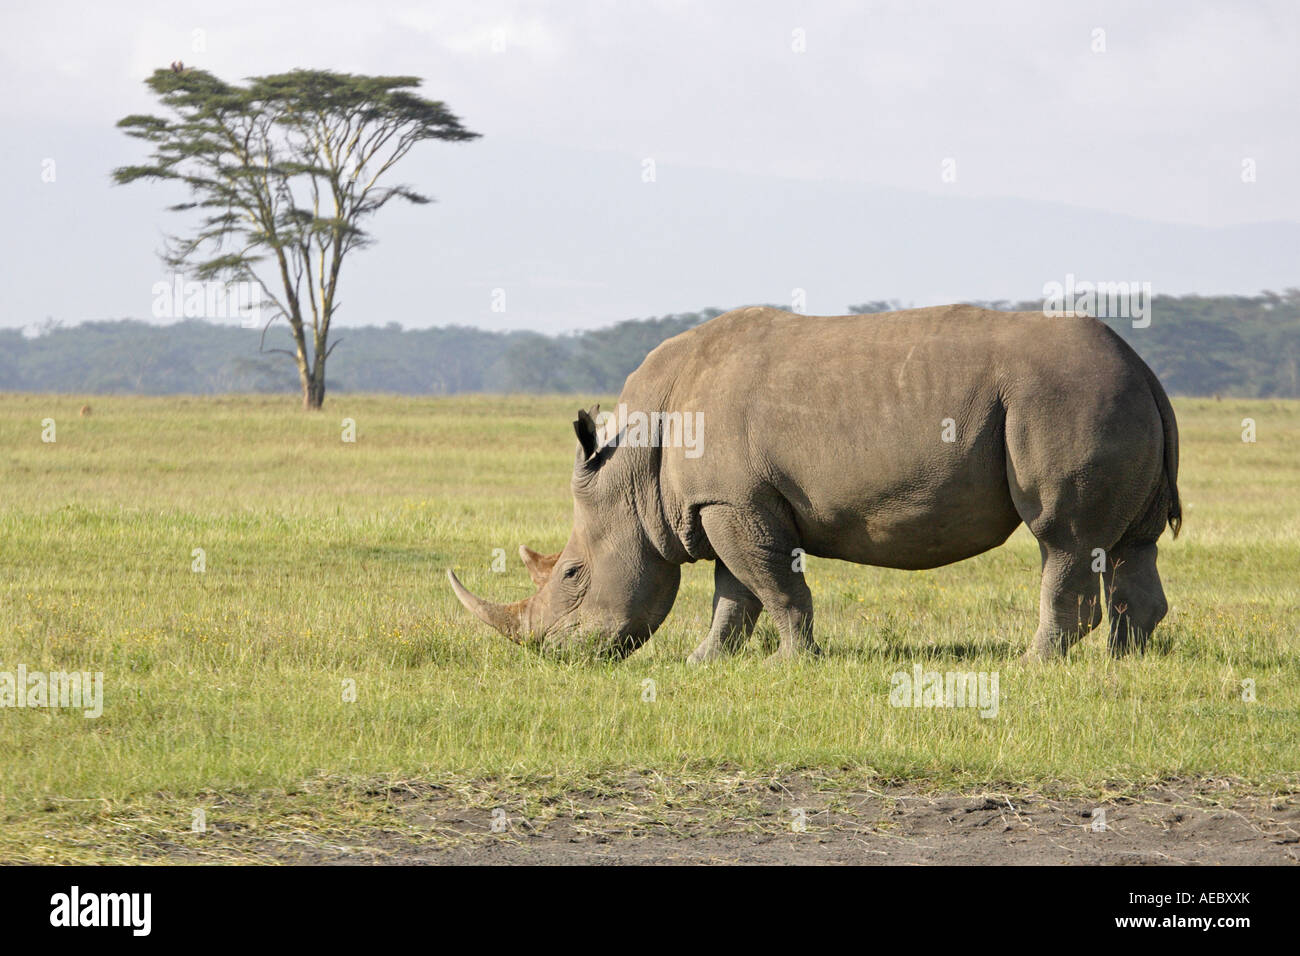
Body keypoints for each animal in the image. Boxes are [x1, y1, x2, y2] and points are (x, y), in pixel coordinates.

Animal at [447, 306, 1180, 665]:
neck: (633, 469)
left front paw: (792, 664)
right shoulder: (729, 503)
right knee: (1129, 545)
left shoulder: (733, 502)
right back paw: (1127, 662)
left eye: (572, 573)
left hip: (1065, 399)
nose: (553, 655)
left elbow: (773, 587)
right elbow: (735, 594)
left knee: (1064, 538)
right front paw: (705, 664)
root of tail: (1144, 367)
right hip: (1109, 396)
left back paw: (1035, 665)